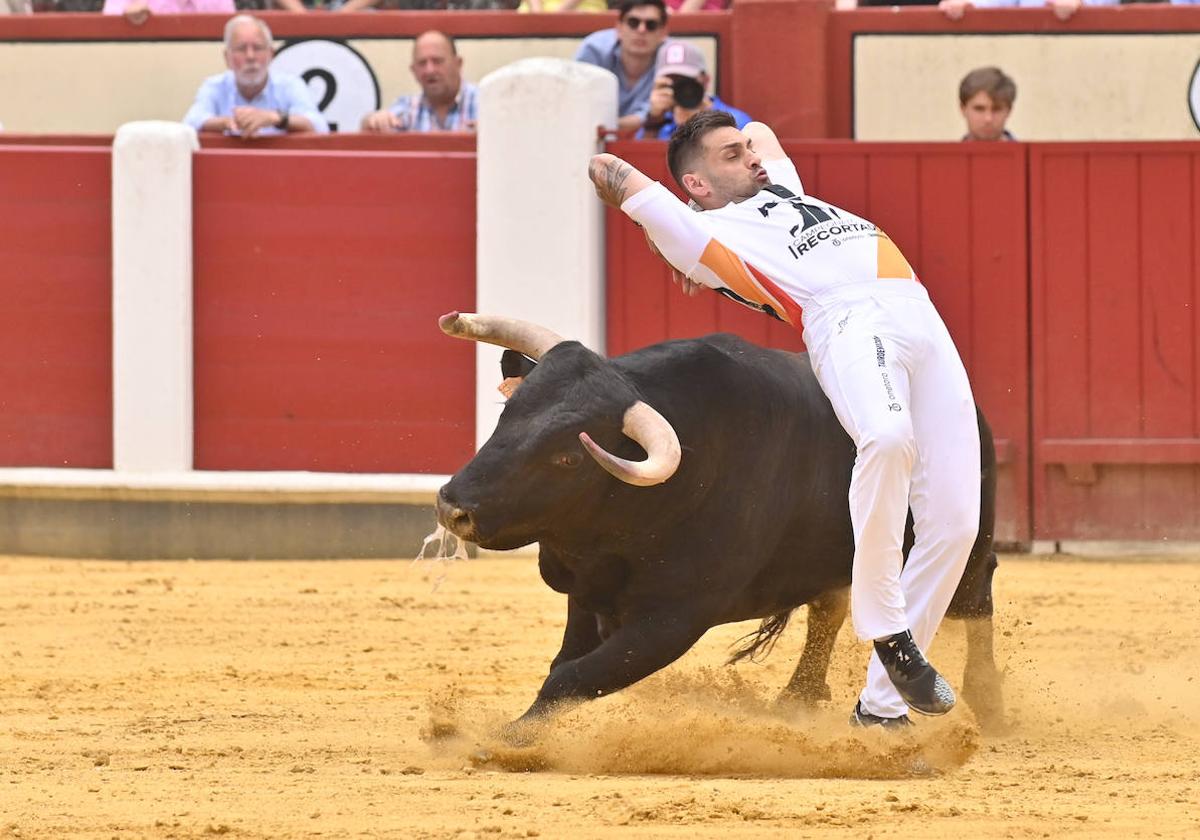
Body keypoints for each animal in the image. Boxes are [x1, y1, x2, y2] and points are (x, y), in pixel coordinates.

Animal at [436, 321, 1008, 734]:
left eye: (567, 458)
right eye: (507, 412)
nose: (452, 506)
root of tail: (973, 409)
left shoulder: (674, 619)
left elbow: (575, 676)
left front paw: (505, 741)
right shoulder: (588, 593)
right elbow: (564, 664)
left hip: (963, 539)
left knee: (973, 600)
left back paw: (984, 704)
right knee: (832, 607)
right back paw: (797, 698)